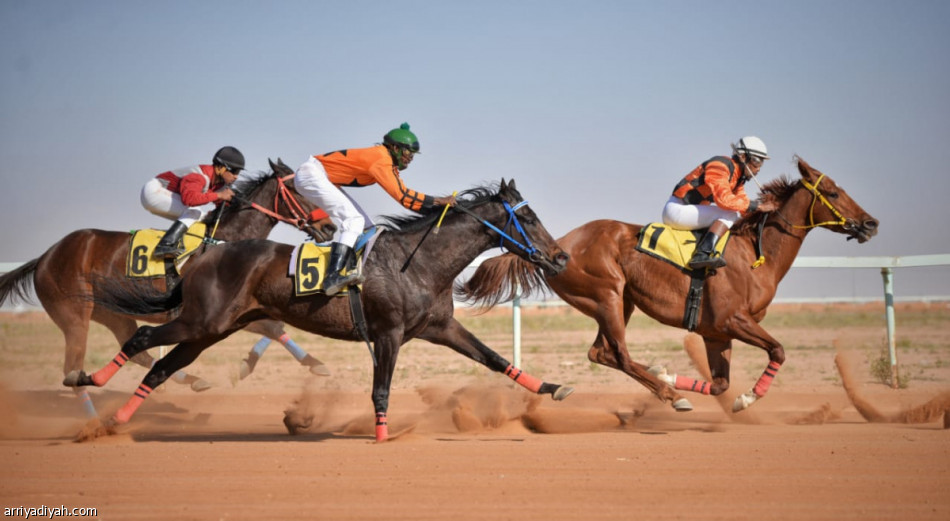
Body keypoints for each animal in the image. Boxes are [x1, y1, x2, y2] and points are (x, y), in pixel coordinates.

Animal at [0, 156, 338, 416]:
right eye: (298, 189)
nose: (330, 227)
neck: (225, 239)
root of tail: (45, 256)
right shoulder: (215, 309)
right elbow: (272, 327)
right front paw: (311, 364)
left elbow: (275, 327)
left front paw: (310, 364)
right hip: (74, 316)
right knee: (71, 368)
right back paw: (92, 419)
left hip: (111, 314)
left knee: (134, 351)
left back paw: (191, 380)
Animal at [458, 156, 880, 412]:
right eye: (832, 192)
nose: (871, 223)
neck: (755, 255)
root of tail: (558, 244)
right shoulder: (733, 320)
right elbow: (777, 350)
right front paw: (748, 398)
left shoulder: (716, 332)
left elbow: (721, 383)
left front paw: (675, 375)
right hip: (607, 294)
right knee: (618, 354)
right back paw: (670, 395)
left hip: (619, 301)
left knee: (601, 352)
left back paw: (663, 380)